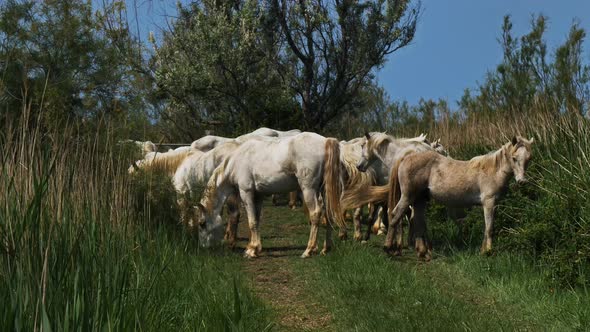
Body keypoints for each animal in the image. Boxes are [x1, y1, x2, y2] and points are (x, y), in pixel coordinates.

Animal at [197, 132, 344, 260]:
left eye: (202, 224)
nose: (204, 247)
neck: (237, 160)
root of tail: (325, 141)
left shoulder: (246, 193)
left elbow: (251, 221)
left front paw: (251, 251)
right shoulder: (258, 196)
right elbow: (256, 220)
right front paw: (255, 248)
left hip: (308, 189)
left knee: (315, 213)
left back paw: (309, 250)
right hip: (324, 190)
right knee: (328, 213)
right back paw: (326, 248)